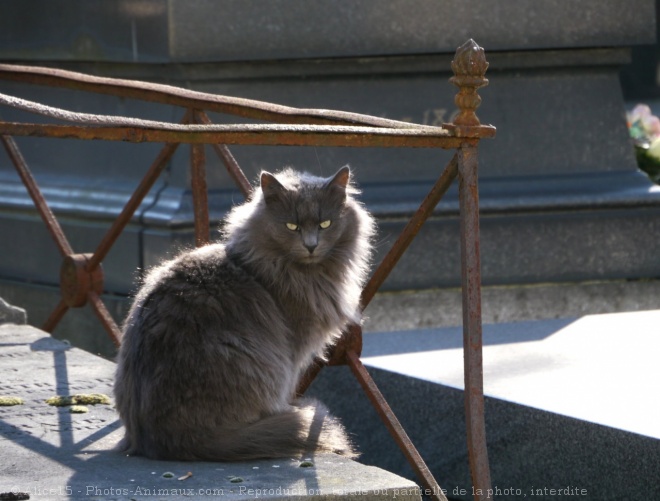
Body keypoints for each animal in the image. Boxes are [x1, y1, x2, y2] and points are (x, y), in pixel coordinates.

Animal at [113, 167, 376, 460]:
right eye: (292, 226)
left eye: (325, 224)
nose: (311, 245)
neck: (304, 274)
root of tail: (164, 439)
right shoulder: (295, 350)